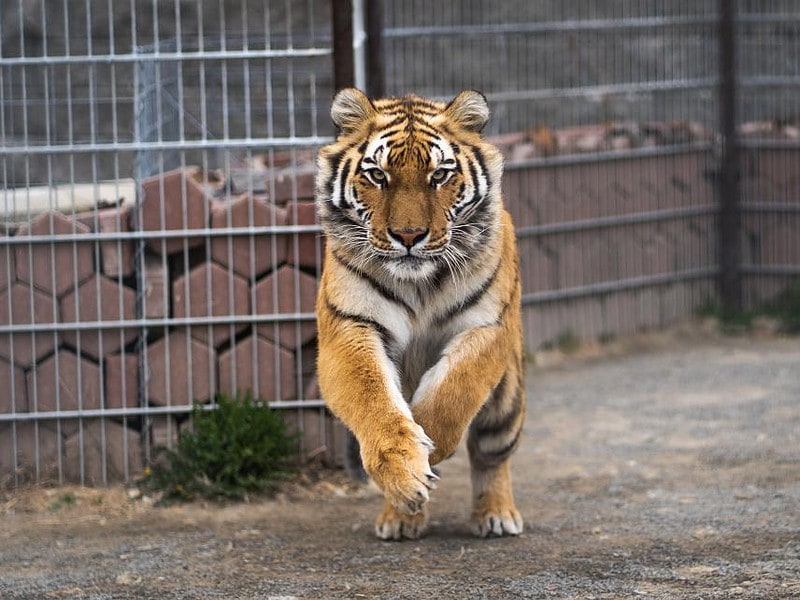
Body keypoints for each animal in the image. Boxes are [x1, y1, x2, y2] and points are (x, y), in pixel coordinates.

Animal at [316, 90, 528, 544]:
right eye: (377, 175)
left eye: (440, 175)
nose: (409, 236)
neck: (420, 284)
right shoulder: (350, 326)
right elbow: (374, 401)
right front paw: (404, 471)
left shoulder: (486, 326)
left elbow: (454, 392)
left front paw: (428, 447)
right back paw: (400, 517)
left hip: (507, 398)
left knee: (491, 454)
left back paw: (496, 514)